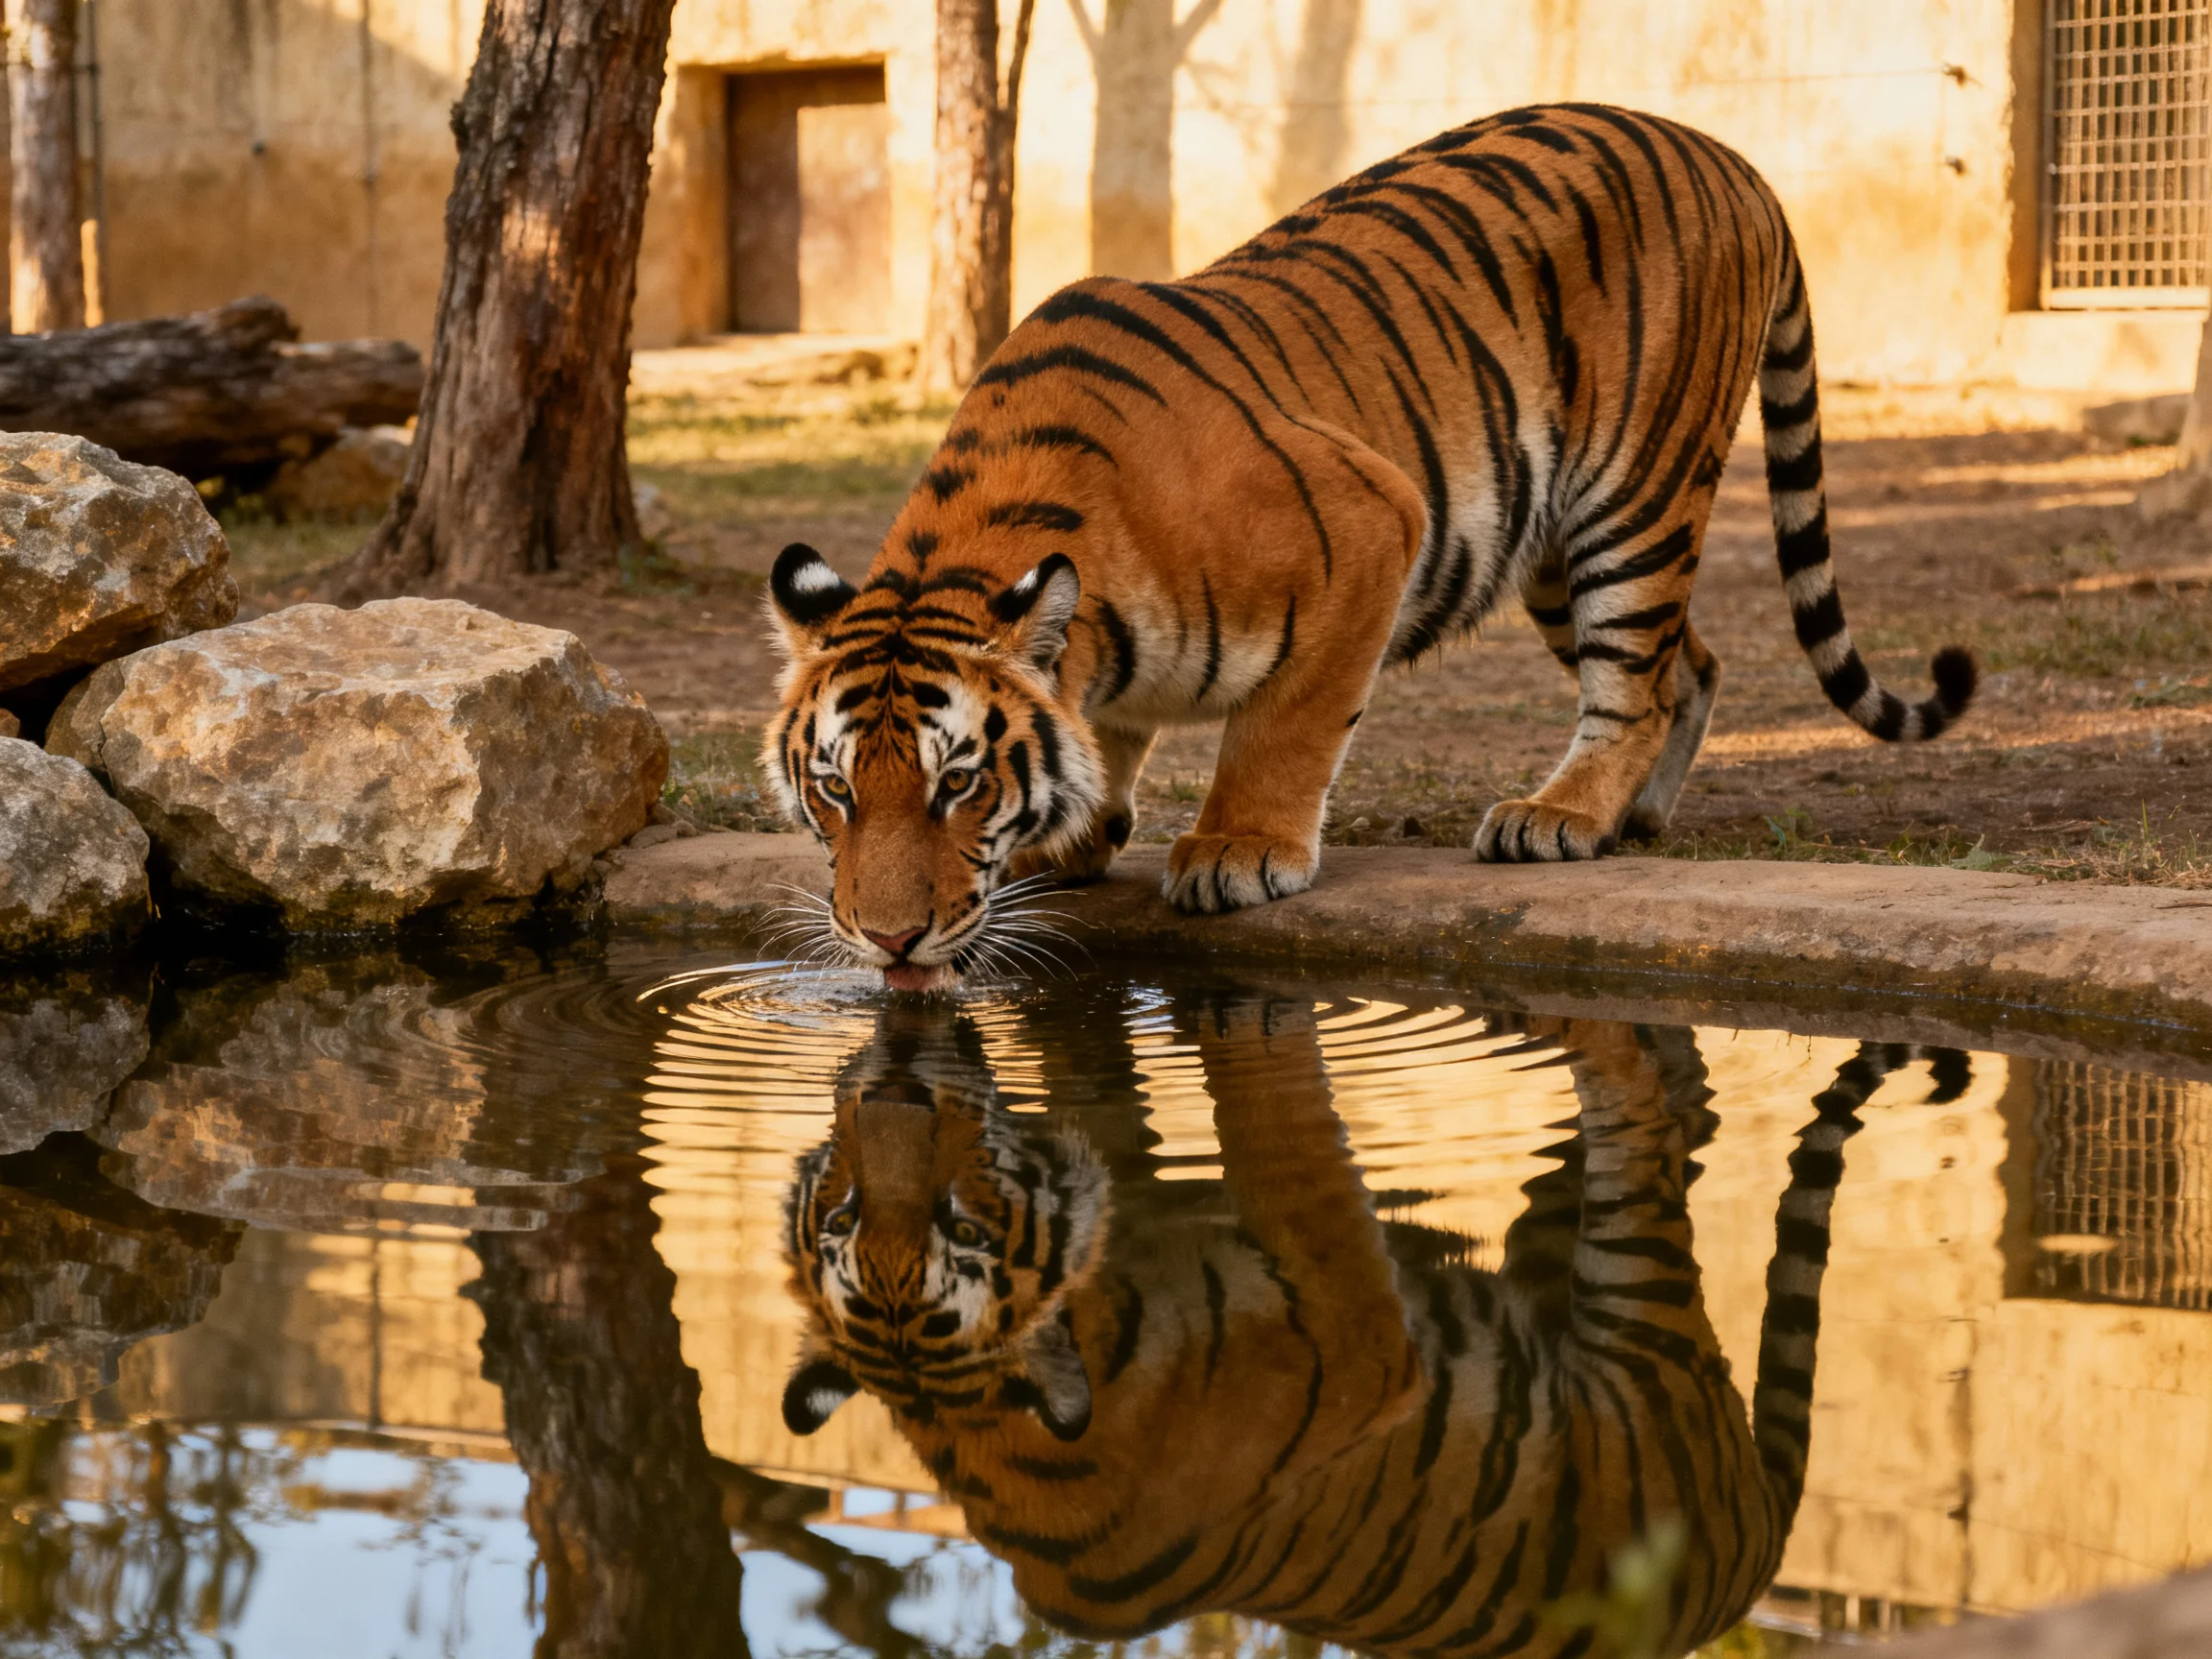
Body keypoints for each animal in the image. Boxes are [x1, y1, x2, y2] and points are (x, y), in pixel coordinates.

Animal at [762, 102, 1975, 989]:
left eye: (957, 784)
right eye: (834, 791)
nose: (888, 942)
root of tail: (1731, 155)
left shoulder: (1370, 524)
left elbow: (1283, 731)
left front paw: (1237, 851)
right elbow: (1114, 734)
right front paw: (1080, 831)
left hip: (1633, 493)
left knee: (1633, 678)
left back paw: (1562, 817)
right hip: (1548, 545)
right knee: (1693, 664)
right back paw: (1635, 815)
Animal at [779, 987, 1887, 1655]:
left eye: (955, 1222)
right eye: (842, 1214)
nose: (892, 1084)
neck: (965, 1422)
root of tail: (1745, 1579)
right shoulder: (1361, 1332)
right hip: (1609, 1290)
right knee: (1664, 1116)